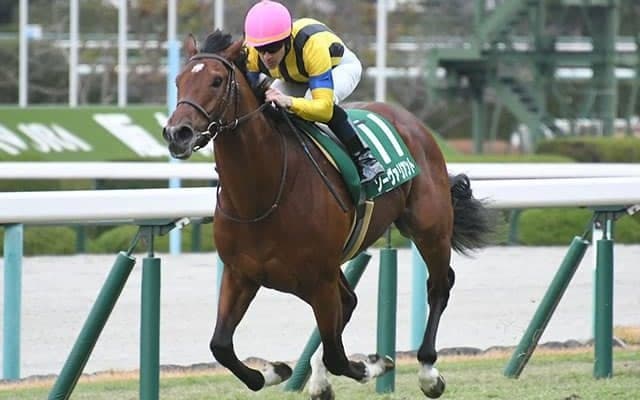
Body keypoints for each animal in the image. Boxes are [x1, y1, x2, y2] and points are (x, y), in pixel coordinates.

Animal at [163, 30, 495, 399]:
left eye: (217, 81)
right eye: (178, 81)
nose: (177, 134)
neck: (262, 195)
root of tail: (412, 122)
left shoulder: (319, 280)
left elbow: (338, 355)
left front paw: (372, 365)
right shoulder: (241, 275)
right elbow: (220, 345)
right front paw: (274, 371)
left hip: (429, 228)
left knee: (438, 286)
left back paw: (427, 372)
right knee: (349, 303)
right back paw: (319, 380)